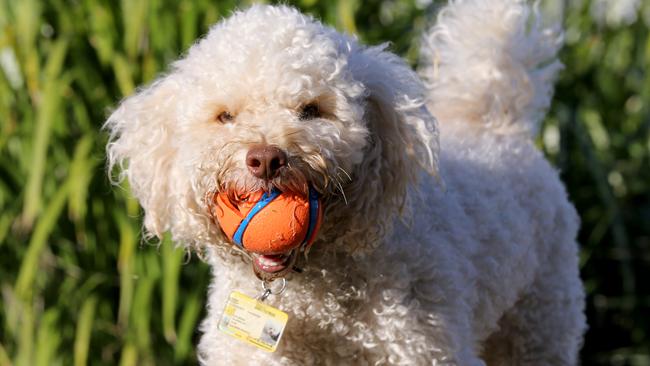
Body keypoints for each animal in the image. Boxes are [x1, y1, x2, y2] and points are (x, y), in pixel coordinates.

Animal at [105, 0, 584, 364]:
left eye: (312, 110)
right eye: (225, 116)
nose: (266, 159)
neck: (313, 297)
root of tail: (495, 122)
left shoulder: (422, 345)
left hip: (542, 318)